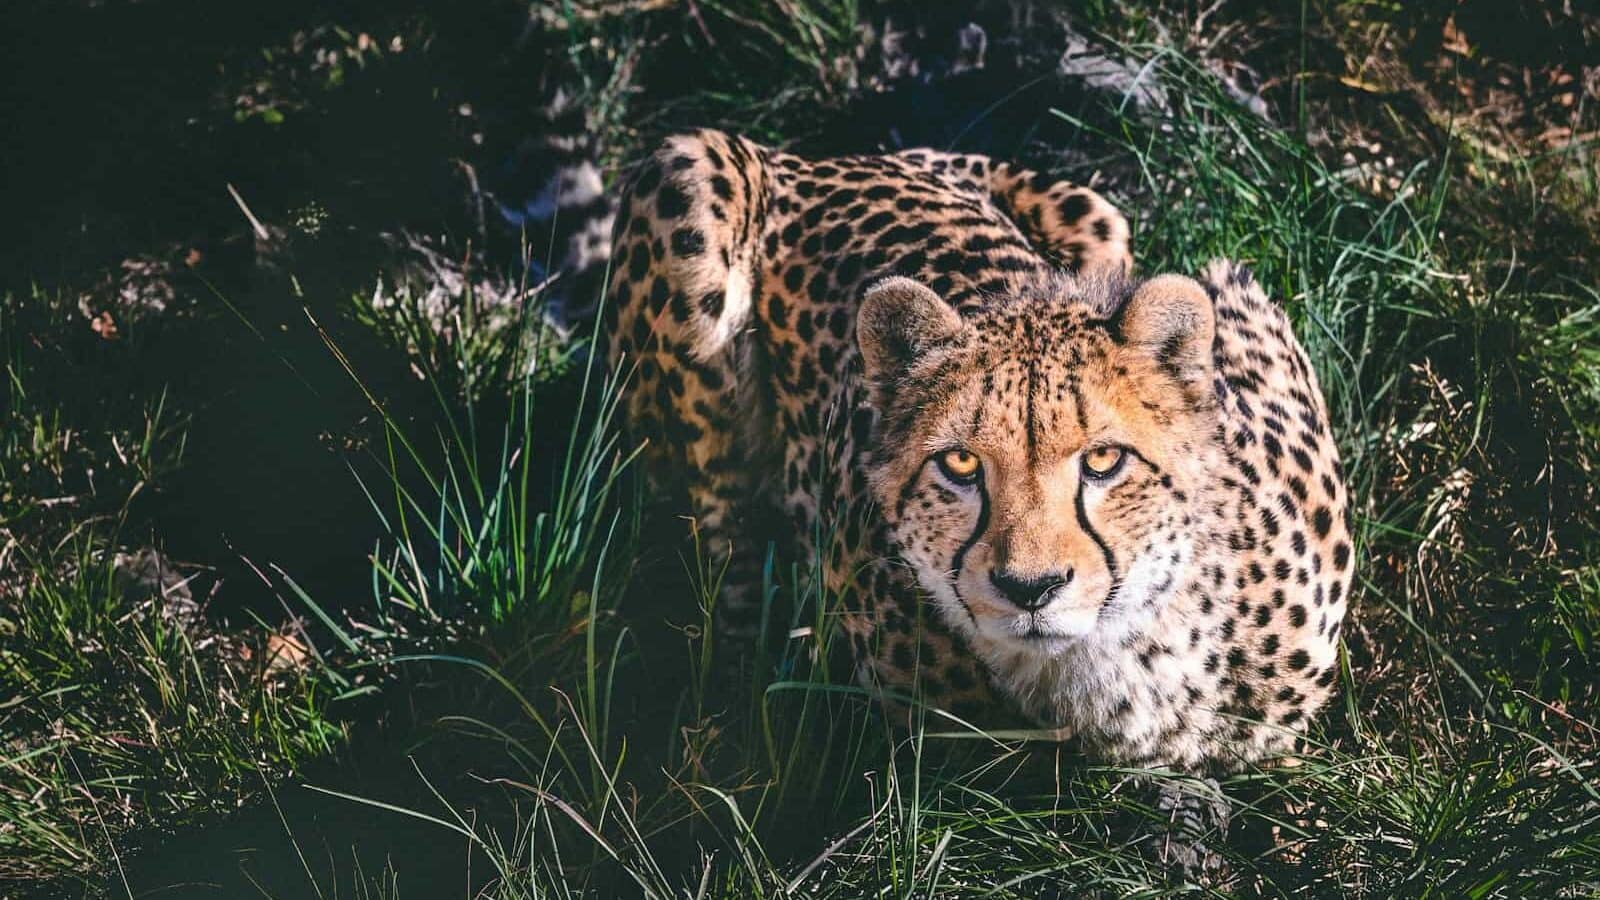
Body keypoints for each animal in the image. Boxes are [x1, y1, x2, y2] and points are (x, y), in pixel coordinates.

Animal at [600, 128, 1353, 872]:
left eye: (1104, 460)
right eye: (960, 463)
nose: (1031, 587)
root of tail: (830, 156)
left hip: (1100, 215)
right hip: (690, 176)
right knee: (720, 554)